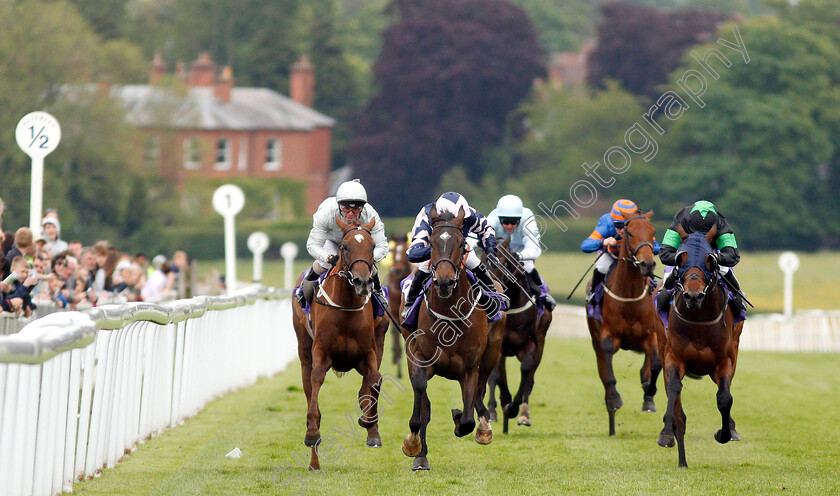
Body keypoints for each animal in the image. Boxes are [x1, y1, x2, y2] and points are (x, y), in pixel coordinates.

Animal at [292, 216, 390, 468]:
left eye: (372, 246)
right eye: (344, 247)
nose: (362, 281)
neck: (346, 306)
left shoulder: (368, 353)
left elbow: (375, 381)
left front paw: (370, 426)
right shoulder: (321, 352)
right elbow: (316, 384)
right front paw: (312, 434)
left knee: (369, 384)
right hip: (303, 349)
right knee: (308, 387)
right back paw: (314, 460)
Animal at [400, 207, 506, 470]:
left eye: (460, 243)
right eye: (432, 243)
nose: (444, 281)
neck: (449, 314)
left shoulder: (470, 365)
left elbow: (468, 418)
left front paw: (463, 421)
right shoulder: (418, 355)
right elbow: (421, 398)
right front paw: (413, 445)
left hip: (492, 352)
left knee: (480, 391)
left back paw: (484, 427)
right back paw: (421, 456)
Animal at [486, 238, 552, 432]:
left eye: (503, 263)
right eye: (484, 260)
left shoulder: (530, 345)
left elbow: (526, 370)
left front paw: (513, 407)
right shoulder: (498, 345)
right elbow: (495, 376)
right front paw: (497, 407)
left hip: (541, 342)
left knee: (530, 378)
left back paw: (523, 414)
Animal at [584, 211, 664, 436]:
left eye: (652, 232)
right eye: (629, 233)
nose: (647, 264)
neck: (629, 296)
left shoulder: (651, 335)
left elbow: (654, 364)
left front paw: (649, 397)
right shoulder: (608, 336)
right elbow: (608, 371)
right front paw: (614, 399)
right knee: (603, 369)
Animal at [660, 227, 744, 466]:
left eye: (710, 259)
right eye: (681, 258)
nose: (693, 295)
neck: (698, 321)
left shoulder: (723, 362)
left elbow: (725, 398)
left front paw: (724, 433)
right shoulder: (673, 357)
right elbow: (674, 393)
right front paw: (668, 433)